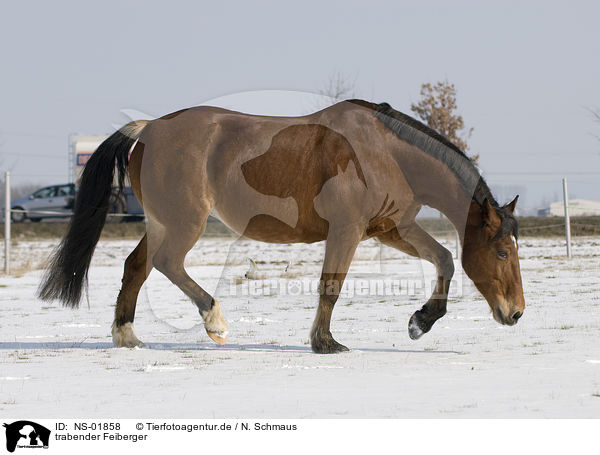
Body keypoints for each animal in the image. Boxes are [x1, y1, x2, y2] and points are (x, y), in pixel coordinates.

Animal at [37, 100, 524, 354]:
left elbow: (444, 259)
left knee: (136, 267)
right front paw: (324, 342)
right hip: (184, 222)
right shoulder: (347, 230)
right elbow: (331, 286)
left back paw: (126, 335)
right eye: (502, 251)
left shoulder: (392, 228)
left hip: (160, 222)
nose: (516, 313)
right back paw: (215, 323)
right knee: (166, 263)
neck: (385, 152)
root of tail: (149, 130)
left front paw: (421, 322)